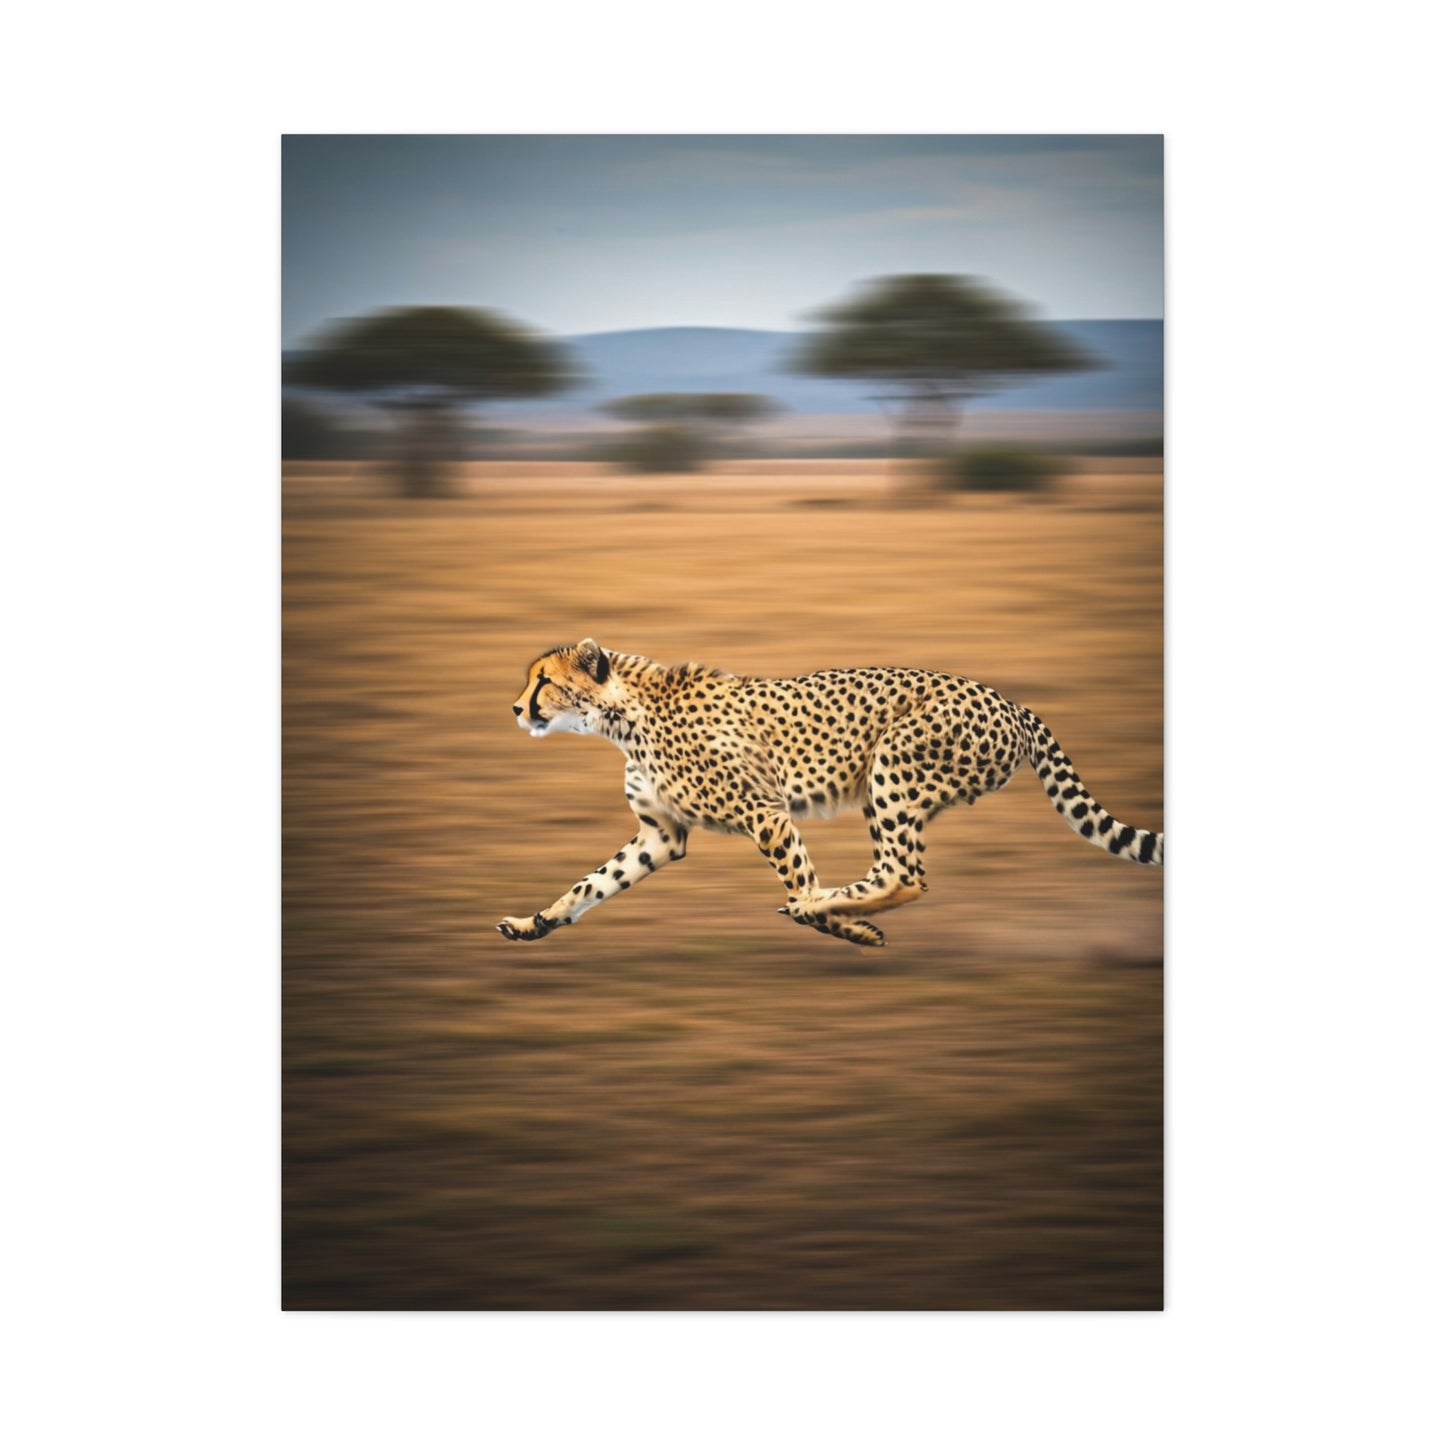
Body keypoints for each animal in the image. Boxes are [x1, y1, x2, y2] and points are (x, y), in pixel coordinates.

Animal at [497, 639, 1162, 948]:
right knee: (898, 871)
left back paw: (823, 906)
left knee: (904, 876)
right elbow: (593, 883)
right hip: (883, 786)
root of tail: (1008, 699)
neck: (624, 715)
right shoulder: (661, 835)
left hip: (892, 764)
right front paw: (535, 922)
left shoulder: (764, 813)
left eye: (544, 682)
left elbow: (797, 877)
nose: (516, 708)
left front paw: (841, 925)